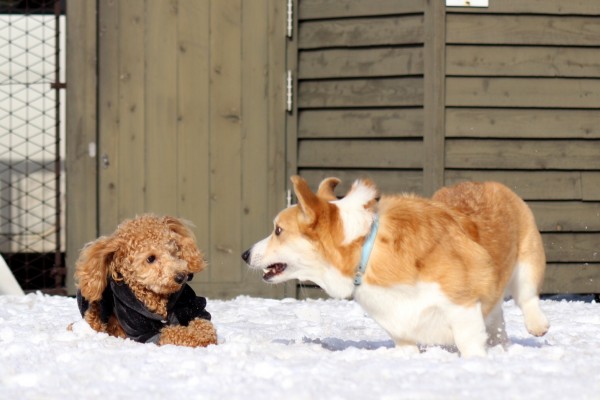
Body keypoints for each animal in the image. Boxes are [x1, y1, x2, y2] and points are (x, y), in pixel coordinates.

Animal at [241, 176, 552, 356]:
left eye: (278, 230)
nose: (245, 254)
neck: (366, 250)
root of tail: (487, 183)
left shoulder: (462, 307)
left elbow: (470, 344)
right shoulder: (401, 331)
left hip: (527, 260)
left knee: (526, 296)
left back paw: (536, 325)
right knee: (497, 315)